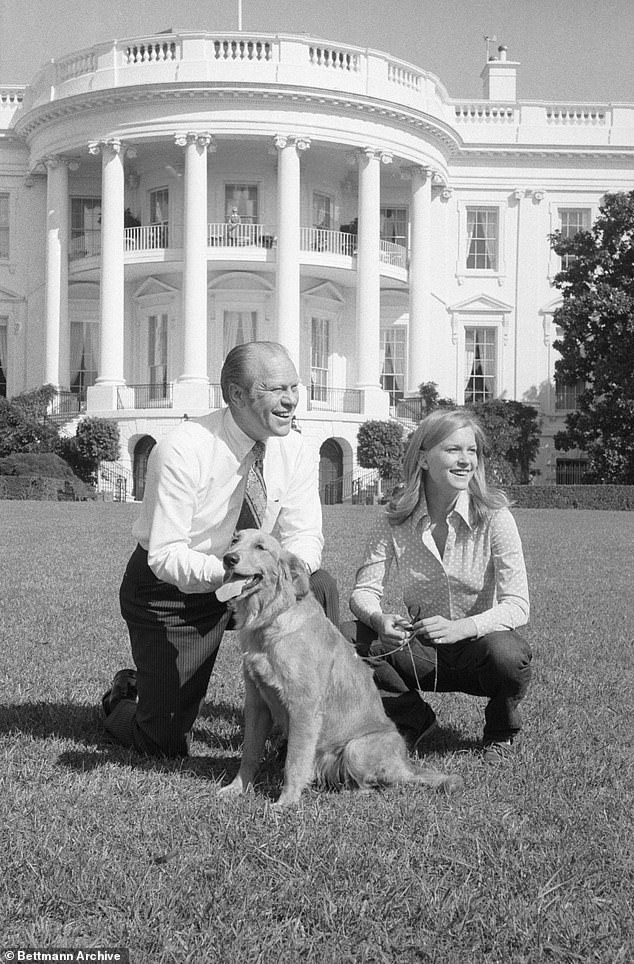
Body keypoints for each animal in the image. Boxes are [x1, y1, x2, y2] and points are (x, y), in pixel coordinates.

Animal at [216, 528, 460, 804]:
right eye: (235, 539)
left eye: (260, 547)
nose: (229, 558)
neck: (271, 619)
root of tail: (406, 764)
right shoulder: (257, 703)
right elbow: (249, 754)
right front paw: (236, 788)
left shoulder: (303, 708)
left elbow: (294, 762)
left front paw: (286, 802)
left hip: (356, 748)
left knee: (382, 783)